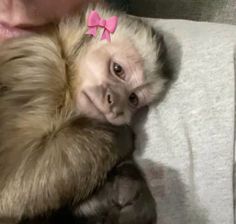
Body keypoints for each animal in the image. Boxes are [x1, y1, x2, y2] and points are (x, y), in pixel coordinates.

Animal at [0, 3, 171, 224]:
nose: (115, 104)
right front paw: (121, 136)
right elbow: (8, 191)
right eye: (118, 70)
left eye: (132, 98)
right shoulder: (40, 67)